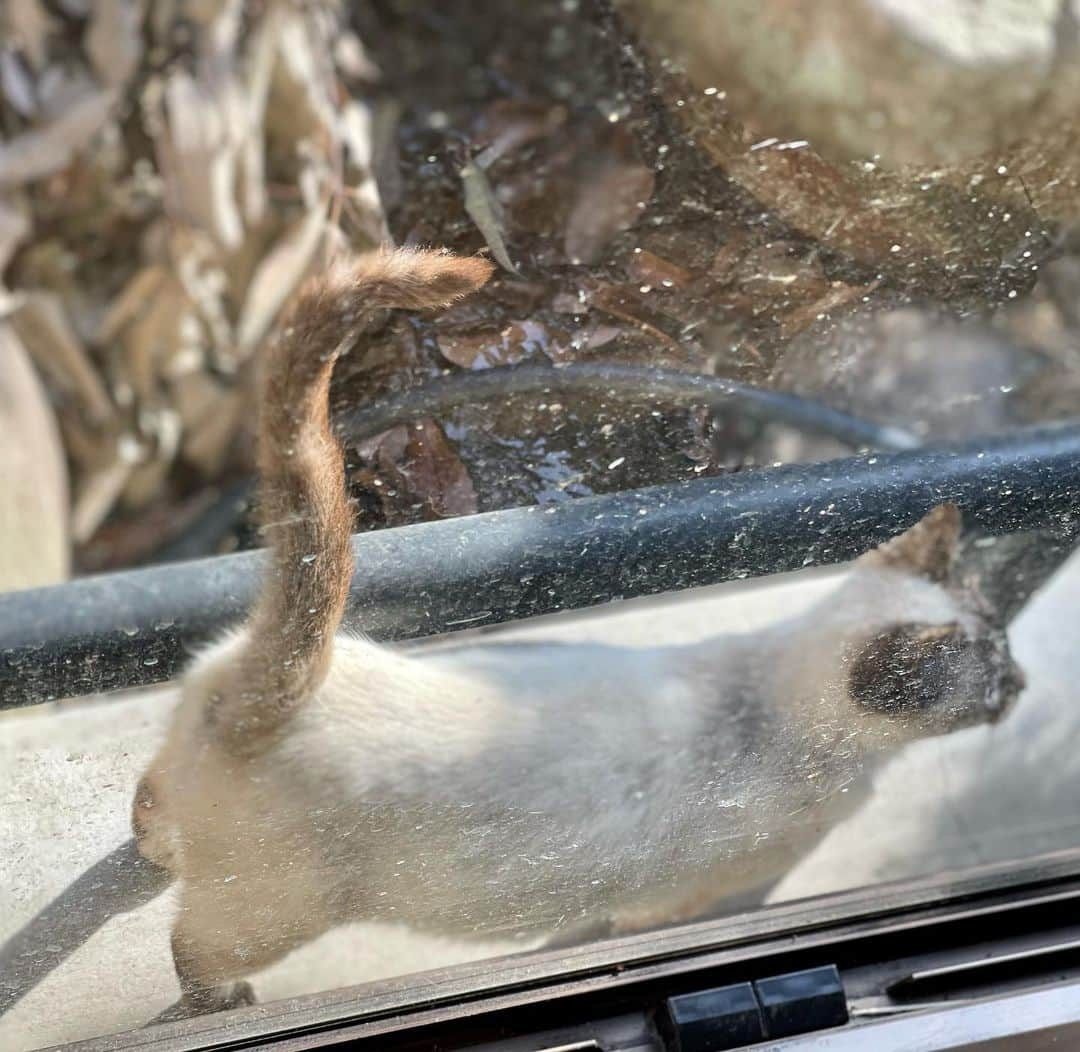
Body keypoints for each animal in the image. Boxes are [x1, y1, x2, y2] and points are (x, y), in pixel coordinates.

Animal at [130, 245, 1023, 1010]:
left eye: (1005, 649)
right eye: (991, 675)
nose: (1020, 686)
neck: (772, 707)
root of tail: (283, 688)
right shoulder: (695, 891)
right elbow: (666, 923)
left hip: (204, 754)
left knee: (150, 799)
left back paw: (158, 853)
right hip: (277, 913)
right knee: (191, 946)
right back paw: (222, 1002)